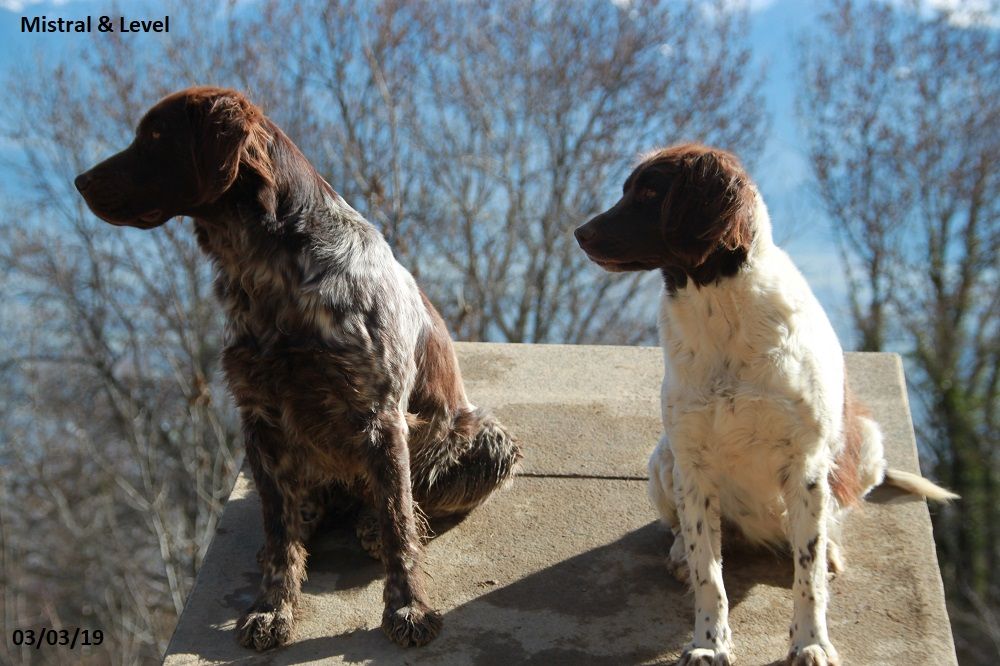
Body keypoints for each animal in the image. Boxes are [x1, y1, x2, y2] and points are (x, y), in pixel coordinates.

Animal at [74, 87, 520, 648]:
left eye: (154, 137)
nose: (80, 181)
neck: (269, 273)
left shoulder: (379, 416)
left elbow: (399, 524)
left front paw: (408, 607)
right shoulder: (259, 415)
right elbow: (279, 533)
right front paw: (272, 608)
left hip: (485, 435)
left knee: (407, 506)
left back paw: (373, 525)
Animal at [572, 144, 952, 664]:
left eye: (649, 193)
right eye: (627, 190)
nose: (579, 233)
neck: (722, 312)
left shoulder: (807, 466)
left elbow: (807, 579)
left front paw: (811, 642)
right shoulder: (693, 464)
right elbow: (710, 576)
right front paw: (708, 643)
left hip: (867, 446)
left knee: (830, 523)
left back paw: (830, 548)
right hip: (663, 458)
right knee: (689, 533)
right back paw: (680, 553)